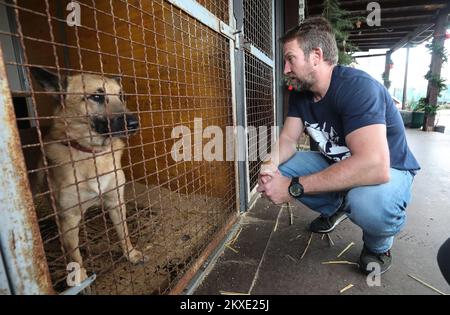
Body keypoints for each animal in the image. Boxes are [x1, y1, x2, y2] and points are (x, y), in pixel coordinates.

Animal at [30, 67, 147, 284]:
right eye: (96, 96)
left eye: (121, 96)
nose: (135, 123)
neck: (93, 155)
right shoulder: (69, 218)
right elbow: (75, 254)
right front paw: (79, 277)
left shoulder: (116, 202)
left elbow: (123, 232)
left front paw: (131, 253)